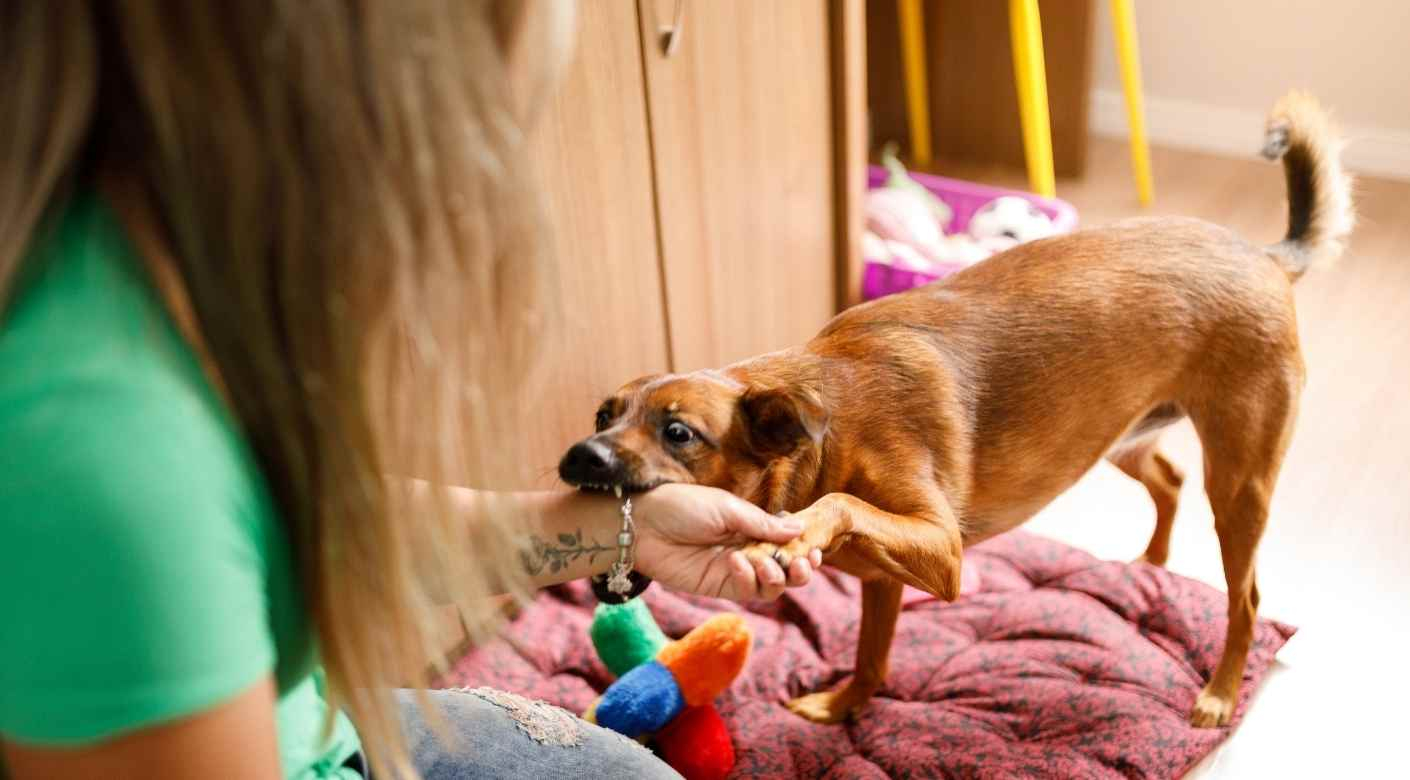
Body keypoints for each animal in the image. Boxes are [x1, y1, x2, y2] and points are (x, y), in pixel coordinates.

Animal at [555, 93, 1347, 727]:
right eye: (601, 415)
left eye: (679, 433)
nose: (579, 457)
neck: (827, 428)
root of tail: (1268, 257)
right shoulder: (884, 580)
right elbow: (871, 655)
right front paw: (844, 708)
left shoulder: (943, 547)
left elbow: (841, 504)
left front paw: (796, 534)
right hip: (1120, 437)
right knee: (1169, 483)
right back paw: (1148, 567)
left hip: (1239, 483)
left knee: (1246, 596)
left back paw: (1218, 692)